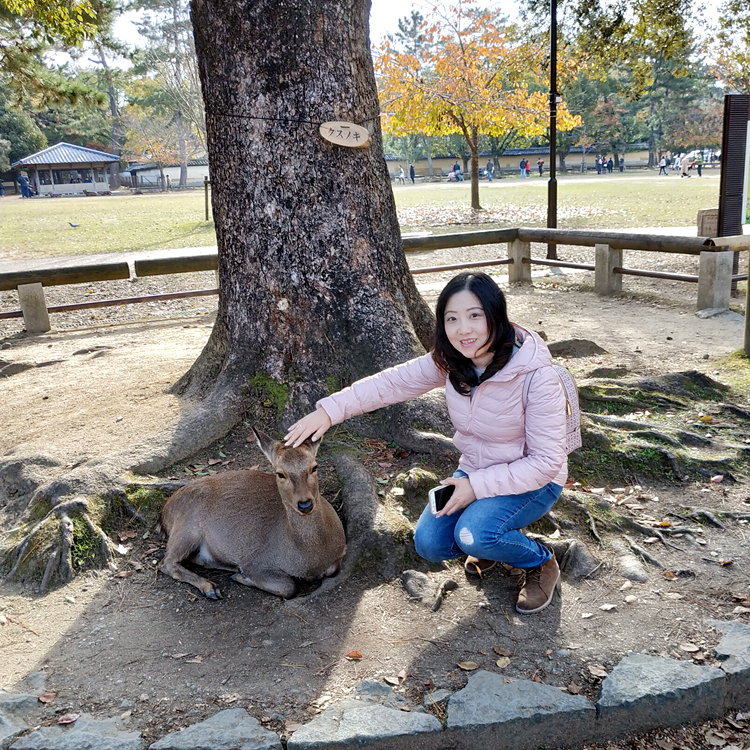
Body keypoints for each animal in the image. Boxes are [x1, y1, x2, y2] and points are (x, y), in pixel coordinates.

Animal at [160, 428, 348, 600]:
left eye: (314, 467)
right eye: (280, 473)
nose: (305, 504)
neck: (309, 560)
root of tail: (165, 510)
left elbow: (333, 570)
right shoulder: (256, 561)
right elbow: (288, 587)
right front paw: (244, 578)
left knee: (196, 559)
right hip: (186, 527)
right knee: (166, 562)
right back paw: (211, 588)